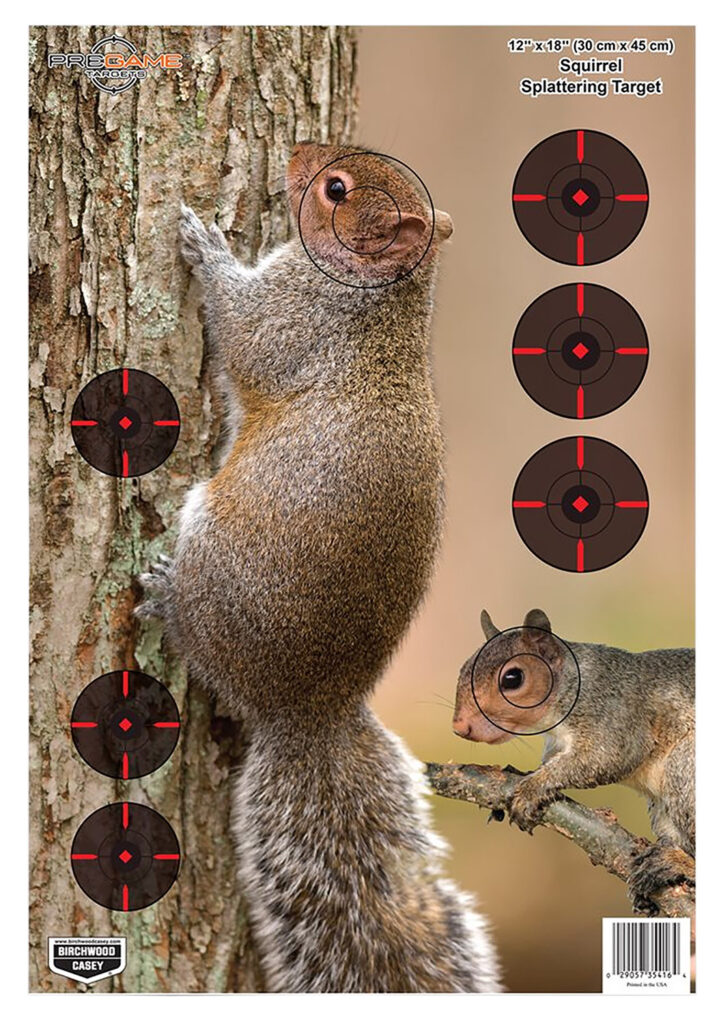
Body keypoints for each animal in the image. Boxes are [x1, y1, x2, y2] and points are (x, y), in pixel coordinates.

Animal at [138, 143, 500, 992]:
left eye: (336, 189)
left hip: (216, 555)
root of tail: (309, 709)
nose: (297, 157)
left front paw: (205, 245)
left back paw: (164, 599)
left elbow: (241, 332)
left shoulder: (293, 321)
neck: (384, 299)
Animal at [452, 608, 695, 913]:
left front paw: (531, 789)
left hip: (684, 767)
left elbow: (607, 757)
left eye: (512, 678)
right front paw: (523, 774)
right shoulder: (557, 743)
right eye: (464, 668)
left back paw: (678, 864)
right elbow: (551, 761)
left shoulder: (615, 715)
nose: (460, 727)